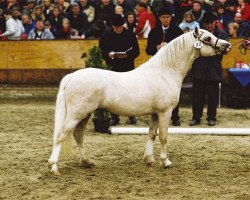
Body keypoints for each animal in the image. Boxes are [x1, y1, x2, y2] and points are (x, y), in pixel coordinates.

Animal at [47, 28, 231, 175]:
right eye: (207, 38)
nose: (227, 45)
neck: (164, 72)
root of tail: (72, 76)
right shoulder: (165, 112)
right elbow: (163, 137)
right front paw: (166, 161)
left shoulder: (155, 114)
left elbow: (152, 134)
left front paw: (149, 159)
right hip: (76, 114)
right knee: (61, 135)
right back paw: (54, 167)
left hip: (84, 115)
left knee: (78, 135)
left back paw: (87, 162)